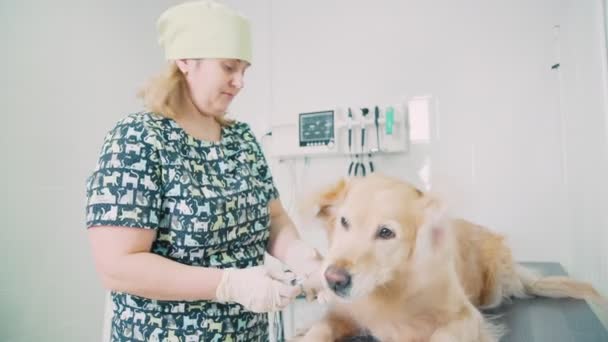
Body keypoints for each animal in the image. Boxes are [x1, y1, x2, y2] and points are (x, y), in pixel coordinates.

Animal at [296, 175, 604, 340]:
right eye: (344, 222)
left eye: (386, 233)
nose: (333, 279)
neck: (391, 287)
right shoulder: (342, 312)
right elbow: (319, 329)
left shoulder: (466, 317)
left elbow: (442, 335)